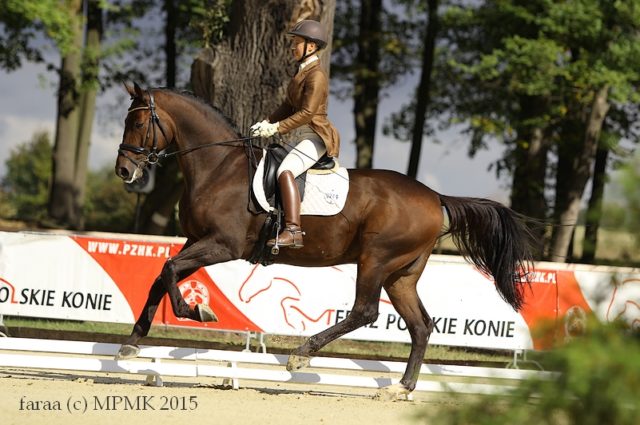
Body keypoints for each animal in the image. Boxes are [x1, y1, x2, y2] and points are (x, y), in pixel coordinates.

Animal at [114, 81, 536, 400]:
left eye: (137, 121)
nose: (123, 171)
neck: (218, 168)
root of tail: (435, 197)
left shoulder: (222, 245)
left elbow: (169, 269)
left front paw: (196, 312)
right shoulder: (196, 240)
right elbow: (161, 276)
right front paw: (132, 343)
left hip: (376, 260)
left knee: (365, 312)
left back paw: (301, 355)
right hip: (401, 274)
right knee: (420, 325)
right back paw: (399, 388)